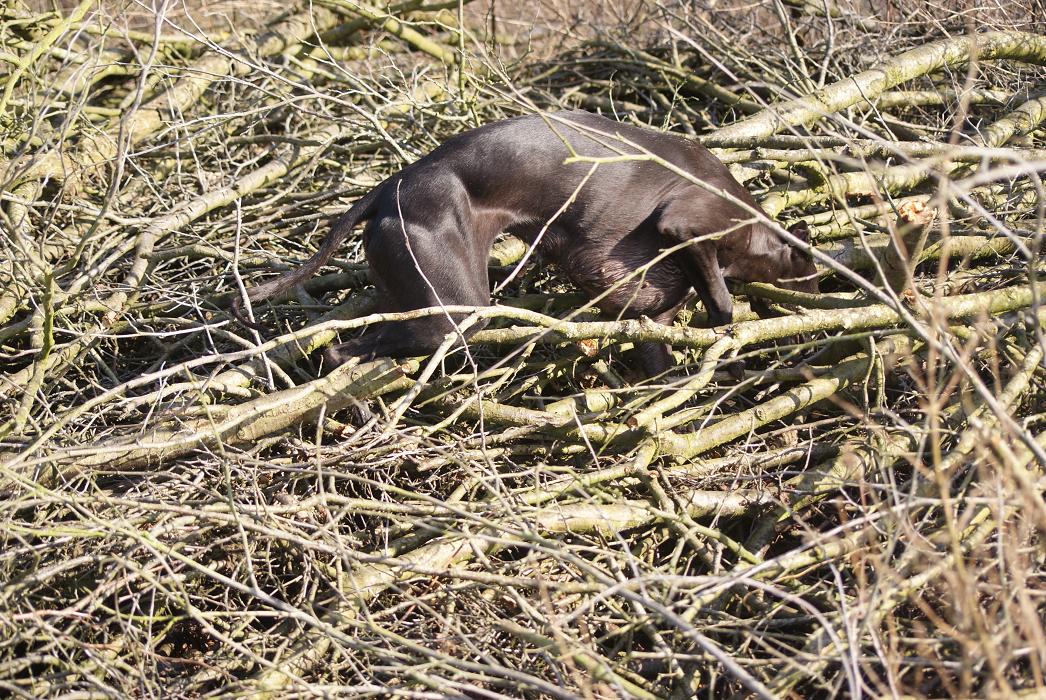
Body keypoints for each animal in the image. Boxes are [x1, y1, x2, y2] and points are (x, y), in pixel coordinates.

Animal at [234, 110, 817, 376]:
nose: (816, 289)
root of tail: (389, 186)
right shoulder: (687, 227)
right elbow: (721, 304)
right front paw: (733, 344)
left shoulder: (651, 317)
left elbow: (657, 345)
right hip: (457, 308)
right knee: (368, 344)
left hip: (408, 288)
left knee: (349, 345)